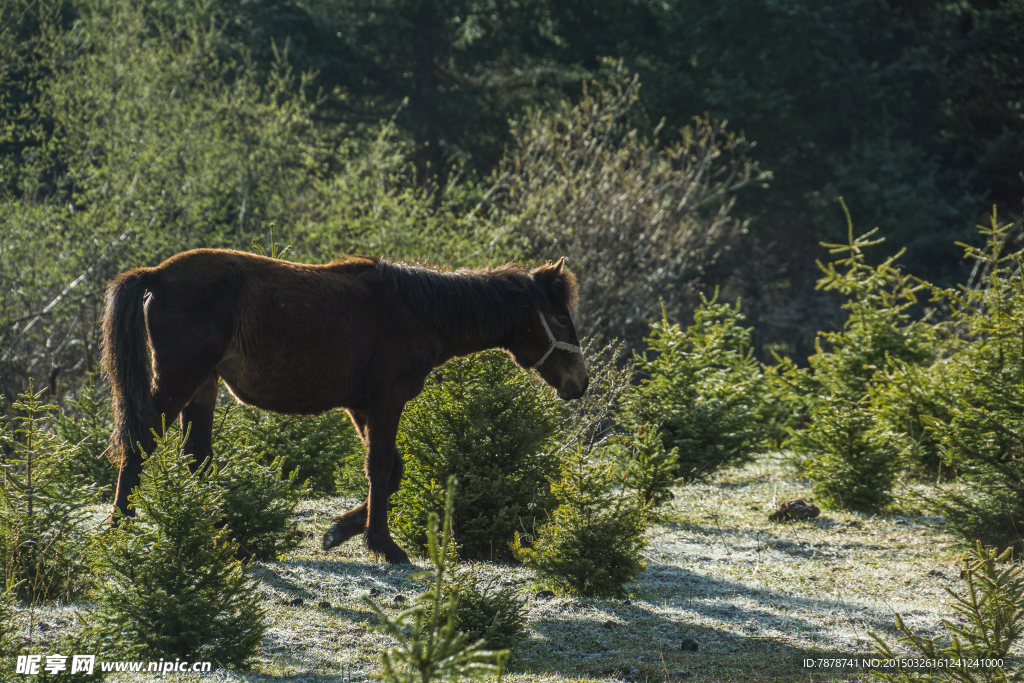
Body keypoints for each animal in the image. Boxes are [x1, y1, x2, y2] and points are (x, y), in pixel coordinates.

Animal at [102, 248, 589, 565]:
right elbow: (380, 468)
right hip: (179, 381)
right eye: (560, 319)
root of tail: (158, 274)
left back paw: (225, 538)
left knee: (197, 458)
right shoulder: (386, 401)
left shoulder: (362, 406)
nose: (579, 383)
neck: (418, 312)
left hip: (202, 386)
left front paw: (341, 530)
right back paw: (121, 526)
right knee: (141, 445)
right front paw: (383, 544)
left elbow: (392, 472)